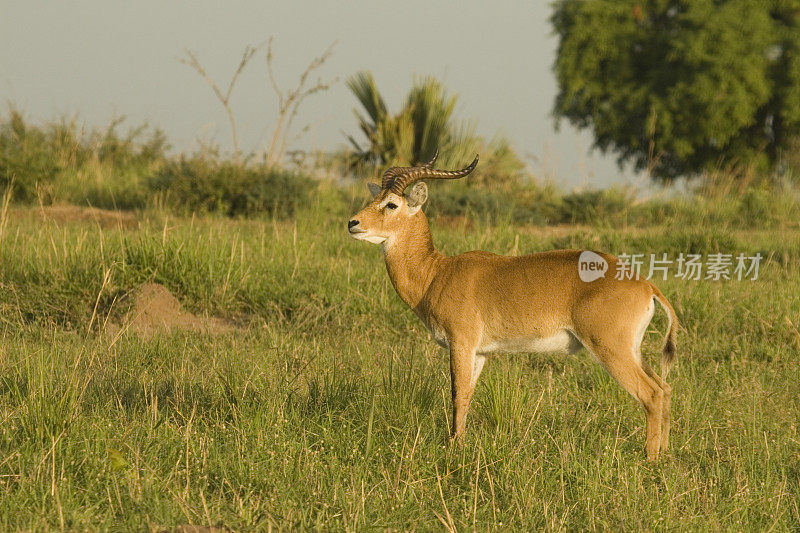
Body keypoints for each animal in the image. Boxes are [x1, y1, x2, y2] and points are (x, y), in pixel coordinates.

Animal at [346, 152, 680, 460]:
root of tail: (645, 285)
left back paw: (649, 458)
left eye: (391, 204)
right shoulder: (479, 352)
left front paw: (453, 448)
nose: (352, 223)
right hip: (633, 350)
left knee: (651, 393)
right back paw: (664, 453)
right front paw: (458, 443)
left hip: (610, 349)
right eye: (374, 197)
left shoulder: (461, 344)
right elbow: (467, 395)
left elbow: (456, 393)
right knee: (665, 388)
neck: (436, 274)